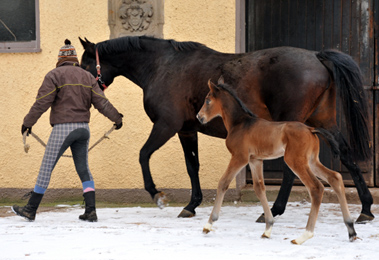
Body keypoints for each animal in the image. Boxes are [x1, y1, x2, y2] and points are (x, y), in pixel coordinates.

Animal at [79, 36, 374, 221]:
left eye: (85, 63)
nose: (83, 88)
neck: (162, 66)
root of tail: (317, 56)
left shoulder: (166, 126)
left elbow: (143, 155)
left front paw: (157, 195)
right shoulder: (187, 130)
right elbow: (192, 167)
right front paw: (191, 205)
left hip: (294, 127)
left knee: (293, 171)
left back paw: (275, 210)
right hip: (323, 121)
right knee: (347, 156)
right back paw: (366, 209)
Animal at [199, 78, 360, 245]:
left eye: (207, 100)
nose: (199, 117)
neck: (240, 123)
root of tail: (311, 129)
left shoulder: (239, 157)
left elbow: (223, 183)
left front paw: (208, 224)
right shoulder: (255, 160)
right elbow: (259, 188)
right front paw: (268, 228)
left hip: (295, 160)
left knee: (316, 187)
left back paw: (304, 235)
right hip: (312, 161)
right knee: (335, 177)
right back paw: (351, 230)